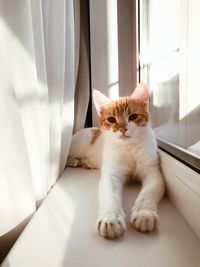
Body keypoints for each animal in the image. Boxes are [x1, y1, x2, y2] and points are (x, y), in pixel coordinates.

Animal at [66, 83, 165, 239]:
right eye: (111, 119)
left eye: (133, 116)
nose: (123, 129)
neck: (129, 148)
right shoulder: (111, 175)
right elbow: (110, 196)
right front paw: (110, 218)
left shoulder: (153, 173)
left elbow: (148, 193)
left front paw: (144, 214)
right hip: (78, 146)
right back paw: (73, 161)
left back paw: (87, 163)